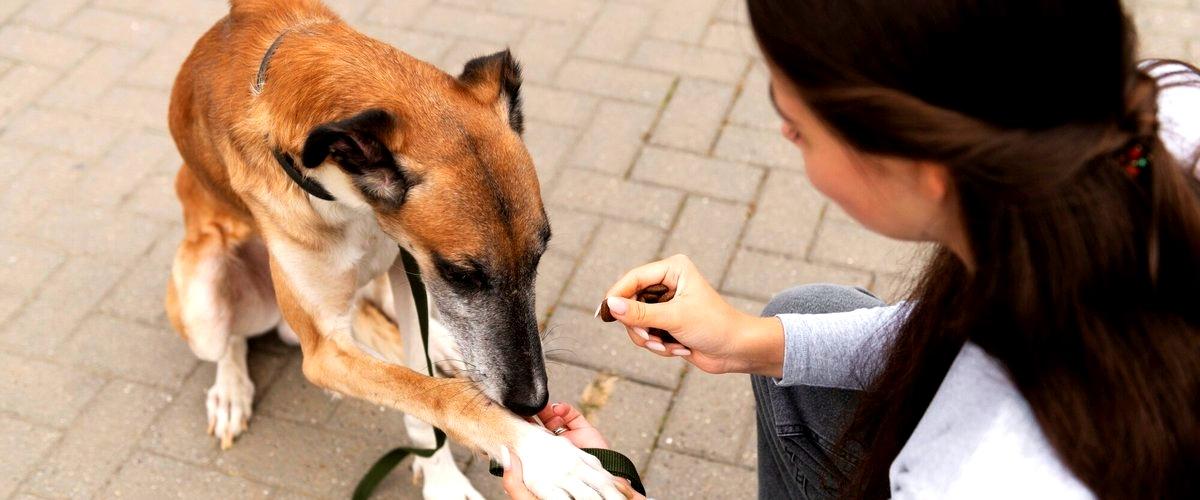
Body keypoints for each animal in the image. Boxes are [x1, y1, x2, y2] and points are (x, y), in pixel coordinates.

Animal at [166, 1, 628, 496]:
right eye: (462, 274)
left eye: (539, 256)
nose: (532, 402)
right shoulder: (325, 349)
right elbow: (432, 394)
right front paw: (543, 455)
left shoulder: (407, 272)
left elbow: (419, 384)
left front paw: (443, 474)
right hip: (202, 302)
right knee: (230, 340)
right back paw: (230, 391)